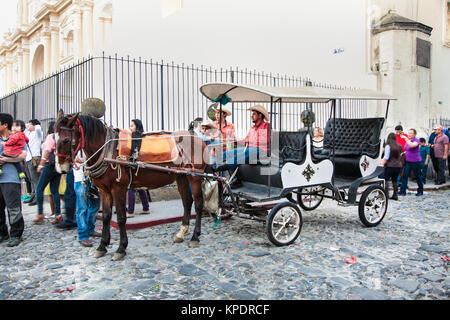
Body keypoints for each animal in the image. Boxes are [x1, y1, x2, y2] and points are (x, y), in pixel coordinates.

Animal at [54, 112, 207, 260]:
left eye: (66, 140)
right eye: (53, 138)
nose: (61, 168)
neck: (107, 149)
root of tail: (198, 138)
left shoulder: (118, 188)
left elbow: (121, 217)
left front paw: (121, 248)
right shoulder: (104, 190)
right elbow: (106, 217)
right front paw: (102, 246)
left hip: (194, 176)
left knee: (198, 203)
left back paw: (195, 236)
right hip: (181, 176)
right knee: (187, 201)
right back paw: (181, 233)